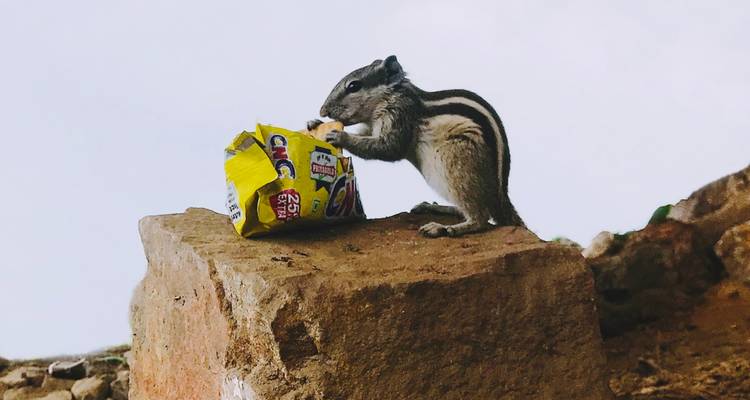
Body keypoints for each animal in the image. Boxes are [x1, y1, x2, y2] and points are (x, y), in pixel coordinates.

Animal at [308, 55, 525, 237]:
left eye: (354, 86)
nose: (323, 110)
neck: (389, 97)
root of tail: (500, 197)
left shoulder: (400, 114)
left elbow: (389, 147)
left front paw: (339, 136)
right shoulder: (372, 127)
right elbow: (368, 138)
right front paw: (314, 123)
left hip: (456, 163)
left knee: (480, 217)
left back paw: (445, 228)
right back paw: (436, 207)